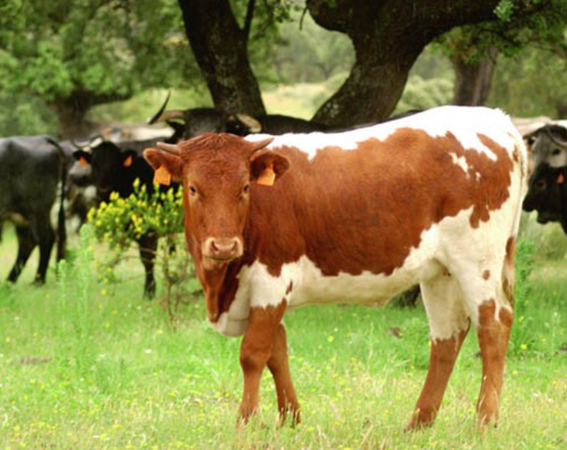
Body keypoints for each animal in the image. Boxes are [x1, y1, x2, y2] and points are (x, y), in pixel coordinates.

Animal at [0, 135, 68, 284]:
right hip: (21, 215)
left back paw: (38, 281)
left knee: (46, 238)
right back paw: (9, 281)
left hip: (37, 210)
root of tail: (40, 138)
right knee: (28, 243)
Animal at [143, 105, 528, 428]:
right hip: (440, 271)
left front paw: (246, 422)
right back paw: (419, 423)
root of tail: (497, 120)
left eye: (244, 188)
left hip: (478, 259)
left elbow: (253, 353)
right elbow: (277, 351)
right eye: (193, 188)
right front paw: (290, 418)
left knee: (493, 326)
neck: (221, 284)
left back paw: (485, 421)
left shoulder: (271, 280)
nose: (224, 245)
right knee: (447, 336)